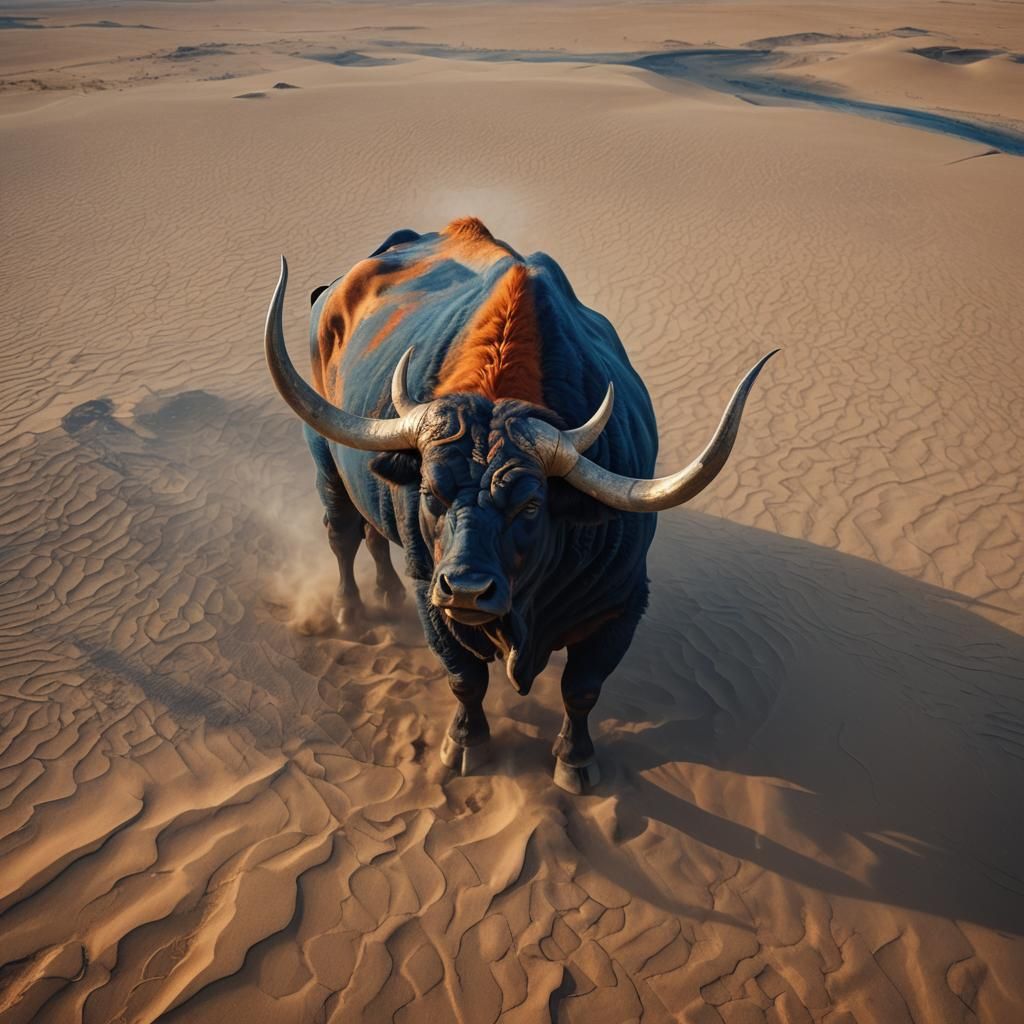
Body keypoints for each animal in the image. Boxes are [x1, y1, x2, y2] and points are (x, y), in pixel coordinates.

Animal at [265, 217, 775, 793]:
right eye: (432, 492)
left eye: (530, 505)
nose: (467, 587)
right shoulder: (433, 596)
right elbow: (464, 677)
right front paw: (466, 744)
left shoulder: (623, 602)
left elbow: (582, 688)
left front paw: (575, 761)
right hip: (322, 457)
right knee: (343, 533)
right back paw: (349, 610)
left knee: (374, 534)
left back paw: (386, 593)